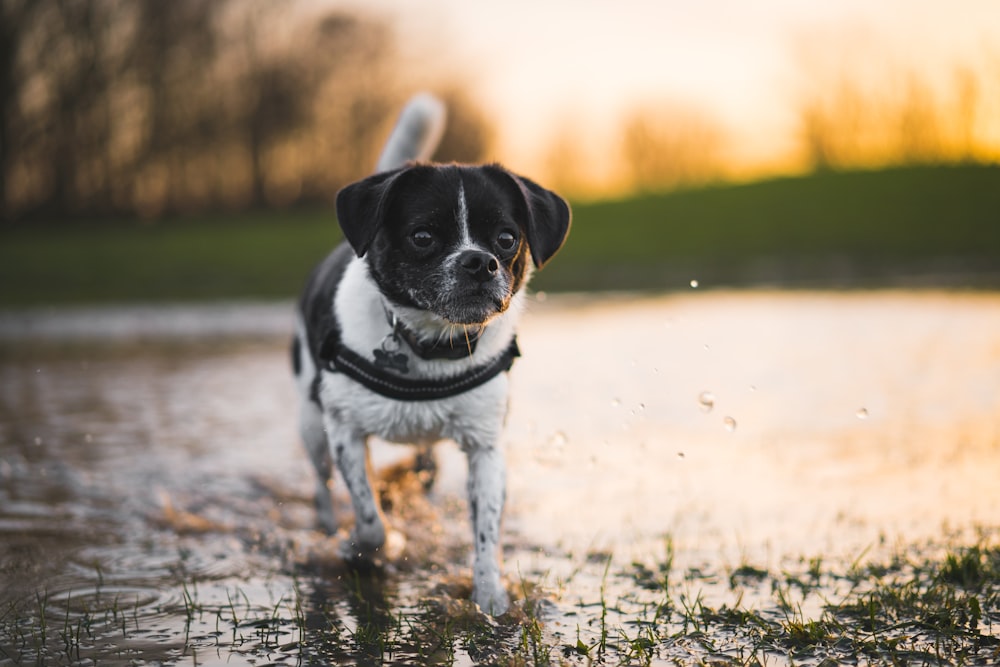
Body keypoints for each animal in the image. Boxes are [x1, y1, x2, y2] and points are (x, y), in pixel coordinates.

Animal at [290, 95, 572, 616]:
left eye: (506, 238)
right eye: (422, 236)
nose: (479, 261)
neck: (432, 344)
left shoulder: (485, 446)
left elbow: (486, 531)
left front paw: (489, 598)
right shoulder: (344, 431)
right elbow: (369, 516)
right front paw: (362, 549)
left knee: (424, 468)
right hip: (311, 423)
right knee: (322, 485)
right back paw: (328, 526)